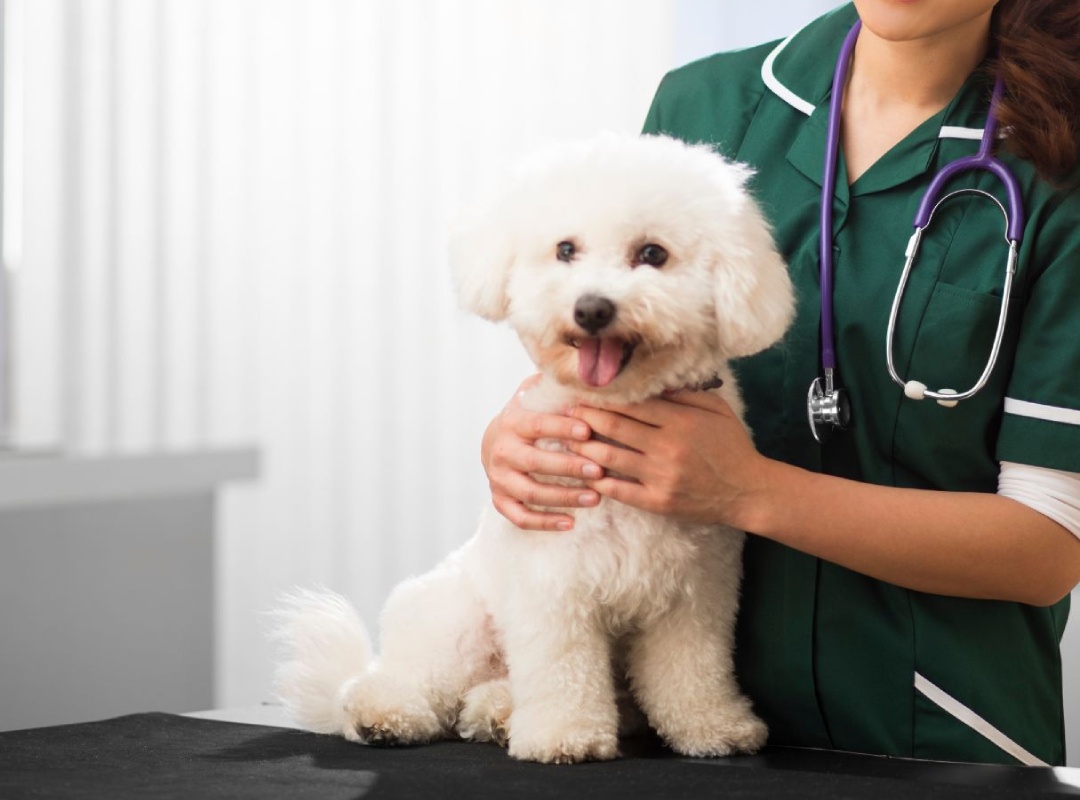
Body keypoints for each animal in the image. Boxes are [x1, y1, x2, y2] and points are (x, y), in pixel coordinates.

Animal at [270, 131, 794, 760]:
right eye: (565, 249)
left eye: (653, 254)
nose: (591, 308)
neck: (615, 411)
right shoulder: (554, 585)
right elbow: (562, 669)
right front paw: (564, 736)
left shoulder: (695, 592)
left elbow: (694, 669)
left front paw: (713, 727)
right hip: (457, 620)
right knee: (396, 682)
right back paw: (386, 714)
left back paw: (496, 713)